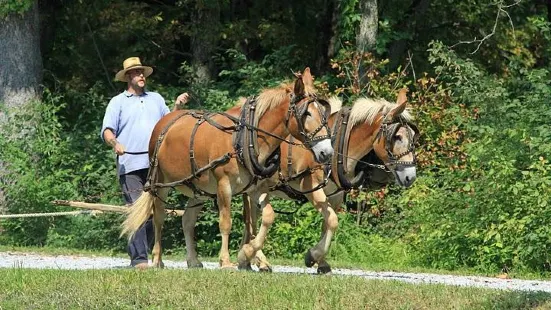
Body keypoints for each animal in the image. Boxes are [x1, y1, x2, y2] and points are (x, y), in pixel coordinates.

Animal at [122, 68, 334, 268]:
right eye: (306, 113)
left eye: (323, 113)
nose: (327, 152)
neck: (244, 137)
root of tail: (165, 121)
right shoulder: (224, 185)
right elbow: (226, 223)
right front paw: (226, 261)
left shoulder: (256, 188)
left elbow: (267, 217)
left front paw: (246, 253)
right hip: (160, 182)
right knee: (158, 217)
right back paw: (157, 259)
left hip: (199, 189)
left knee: (187, 219)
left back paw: (193, 260)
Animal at [239, 88, 420, 272]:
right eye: (397, 137)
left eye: (413, 136)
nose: (410, 176)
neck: (338, 140)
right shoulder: (312, 188)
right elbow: (333, 221)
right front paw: (313, 255)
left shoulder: (335, 195)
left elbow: (327, 224)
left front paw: (322, 262)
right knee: (252, 222)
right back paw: (254, 257)